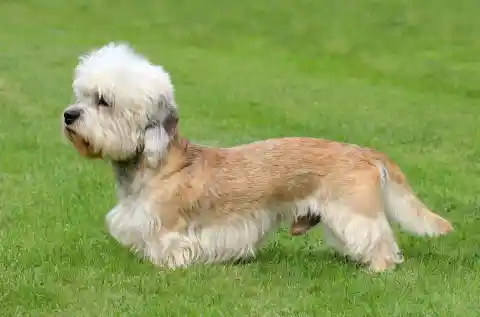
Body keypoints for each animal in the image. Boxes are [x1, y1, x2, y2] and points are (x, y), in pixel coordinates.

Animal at [62, 42, 454, 272]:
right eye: (80, 96)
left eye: (103, 101)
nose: (68, 115)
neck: (155, 165)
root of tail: (366, 153)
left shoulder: (170, 228)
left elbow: (169, 248)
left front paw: (167, 265)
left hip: (355, 212)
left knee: (379, 239)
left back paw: (379, 267)